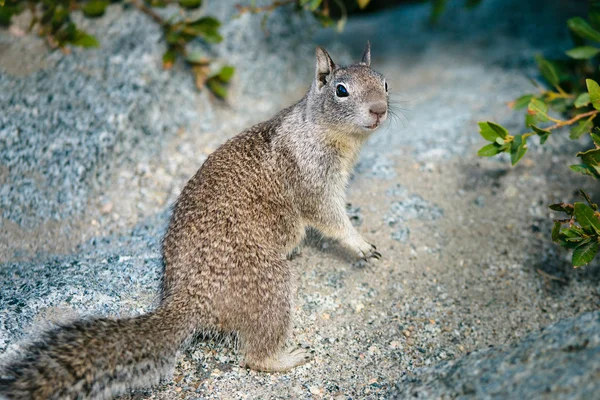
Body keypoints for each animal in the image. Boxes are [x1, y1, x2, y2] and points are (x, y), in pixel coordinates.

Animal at [0, 42, 390, 398]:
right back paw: (287, 356)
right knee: (254, 356)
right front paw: (359, 243)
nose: (380, 110)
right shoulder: (312, 180)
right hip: (270, 285)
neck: (324, 131)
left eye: (384, 82)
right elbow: (329, 217)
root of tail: (188, 299)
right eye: (341, 90)